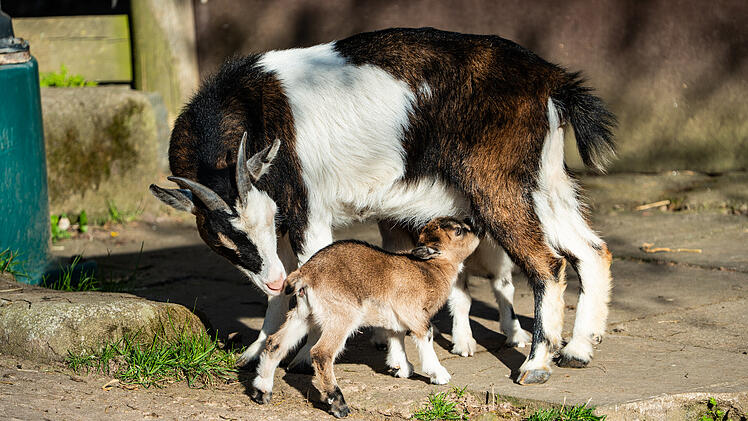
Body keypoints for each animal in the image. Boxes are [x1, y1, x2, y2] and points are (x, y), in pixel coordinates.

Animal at [150, 27, 616, 384]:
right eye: (226, 243)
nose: (273, 280)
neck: (253, 106)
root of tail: (551, 78)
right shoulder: (283, 217)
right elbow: (282, 293)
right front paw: (255, 352)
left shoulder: (305, 211)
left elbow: (307, 276)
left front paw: (299, 358)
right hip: (544, 183)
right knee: (592, 251)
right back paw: (578, 350)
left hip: (495, 185)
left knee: (548, 265)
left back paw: (536, 364)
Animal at [251, 217, 480, 418]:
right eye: (458, 231)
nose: (476, 225)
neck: (431, 268)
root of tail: (306, 273)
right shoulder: (414, 314)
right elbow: (426, 335)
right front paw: (439, 375)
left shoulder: (396, 316)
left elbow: (396, 337)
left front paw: (401, 368)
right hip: (342, 316)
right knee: (321, 353)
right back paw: (339, 405)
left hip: (304, 314)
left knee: (275, 343)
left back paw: (261, 392)